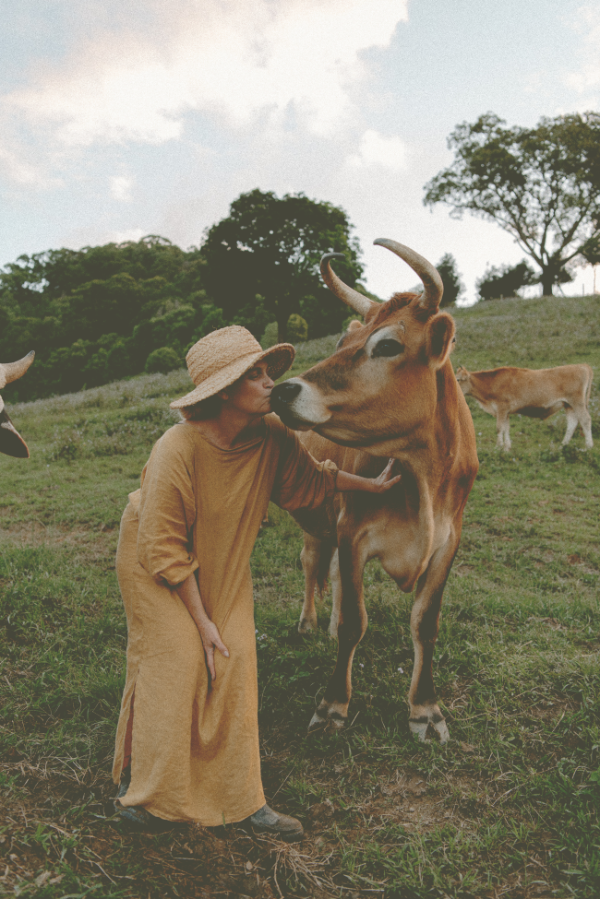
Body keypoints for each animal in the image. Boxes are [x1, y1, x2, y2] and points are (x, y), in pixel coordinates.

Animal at [271, 240, 478, 743]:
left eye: (387, 345)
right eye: (341, 344)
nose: (283, 391)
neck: (423, 479)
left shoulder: (448, 543)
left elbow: (425, 624)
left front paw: (425, 709)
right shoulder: (353, 532)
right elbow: (353, 622)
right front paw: (333, 706)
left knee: (331, 577)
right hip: (317, 524)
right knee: (312, 566)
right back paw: (309, 623)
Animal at [455, 364, 593, 451]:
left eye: (458, 379)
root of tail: (582, 366)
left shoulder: (501, 408)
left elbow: (499, 428)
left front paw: (498, 447)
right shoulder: (506, 411)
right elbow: (506, 428)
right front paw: (507, 447)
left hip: (577, 402)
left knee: (585, 420)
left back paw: (588, 446)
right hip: (568, 404)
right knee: (572, 423)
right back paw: (563, 445)